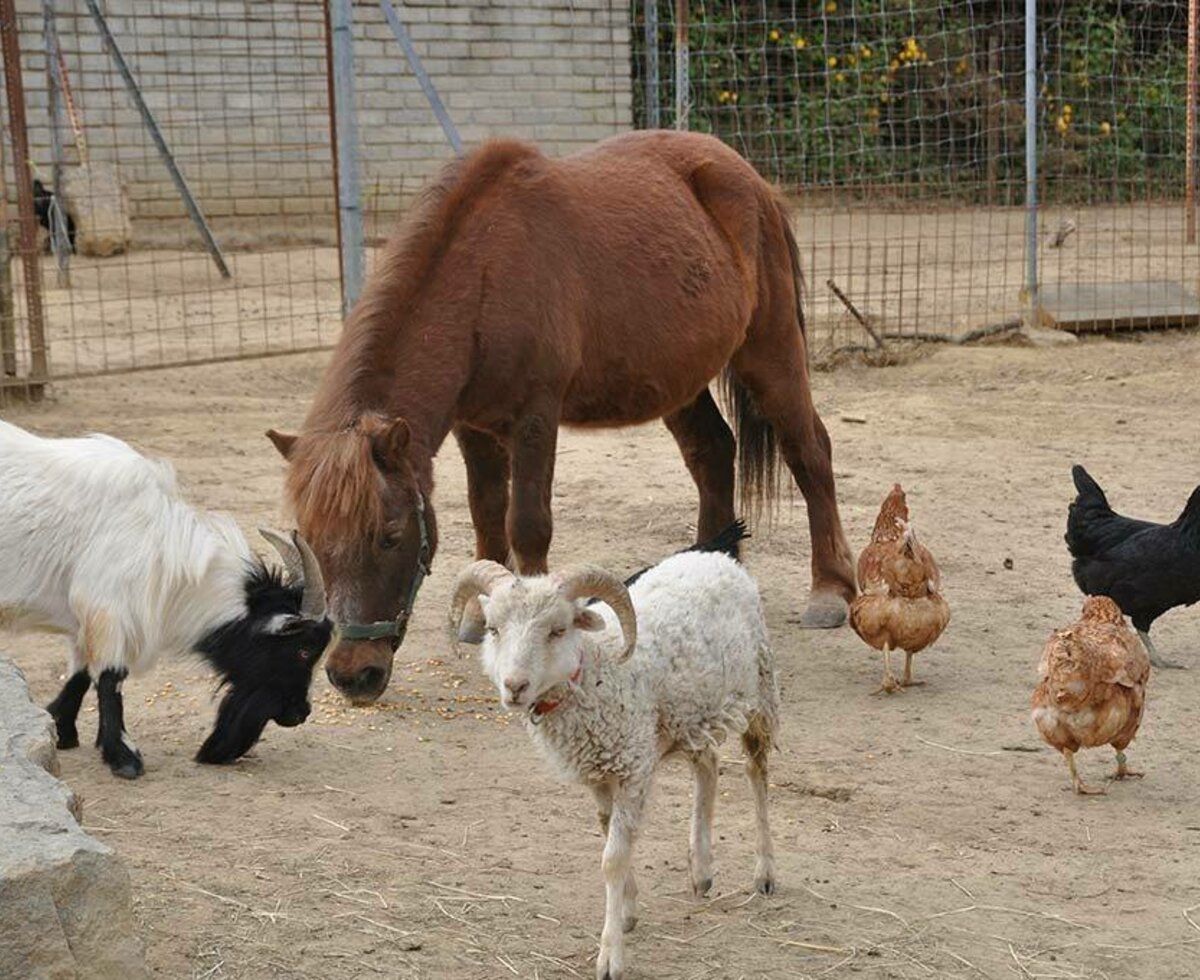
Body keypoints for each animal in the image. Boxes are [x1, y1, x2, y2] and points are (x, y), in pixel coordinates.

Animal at [0, 419, 333, 782]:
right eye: (303, 650)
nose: (300, 712)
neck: (159, 544)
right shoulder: (107, 609)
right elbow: (110, 677)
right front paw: (124, 758)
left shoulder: (84, 619)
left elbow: (81, 673)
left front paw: (62, 730)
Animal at [270, 130, 854, 705]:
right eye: (314, 539)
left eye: (390, 535)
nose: (352, 674)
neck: (483, 273)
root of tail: (749, 178)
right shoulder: (472, 426)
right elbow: (486, 514)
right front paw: (483, 616)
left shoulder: (535, 416)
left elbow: (527, 524)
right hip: (680, 379)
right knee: (712, 452)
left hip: (769, 349)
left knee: (809, 451)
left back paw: (830, 589)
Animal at [451, 551, 777, 978]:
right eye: (493, 629)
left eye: (558, 630)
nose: (514, 687)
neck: (595, 671)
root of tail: (716, 557)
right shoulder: (600, 774)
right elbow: (610, 837)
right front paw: (626, 911)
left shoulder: (633, 768)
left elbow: (613, 859)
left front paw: (611, 954)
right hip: (690, 714)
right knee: (707, 764)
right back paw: (702, 869)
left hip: (760, 689)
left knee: (757, 772)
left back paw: (765, 872)